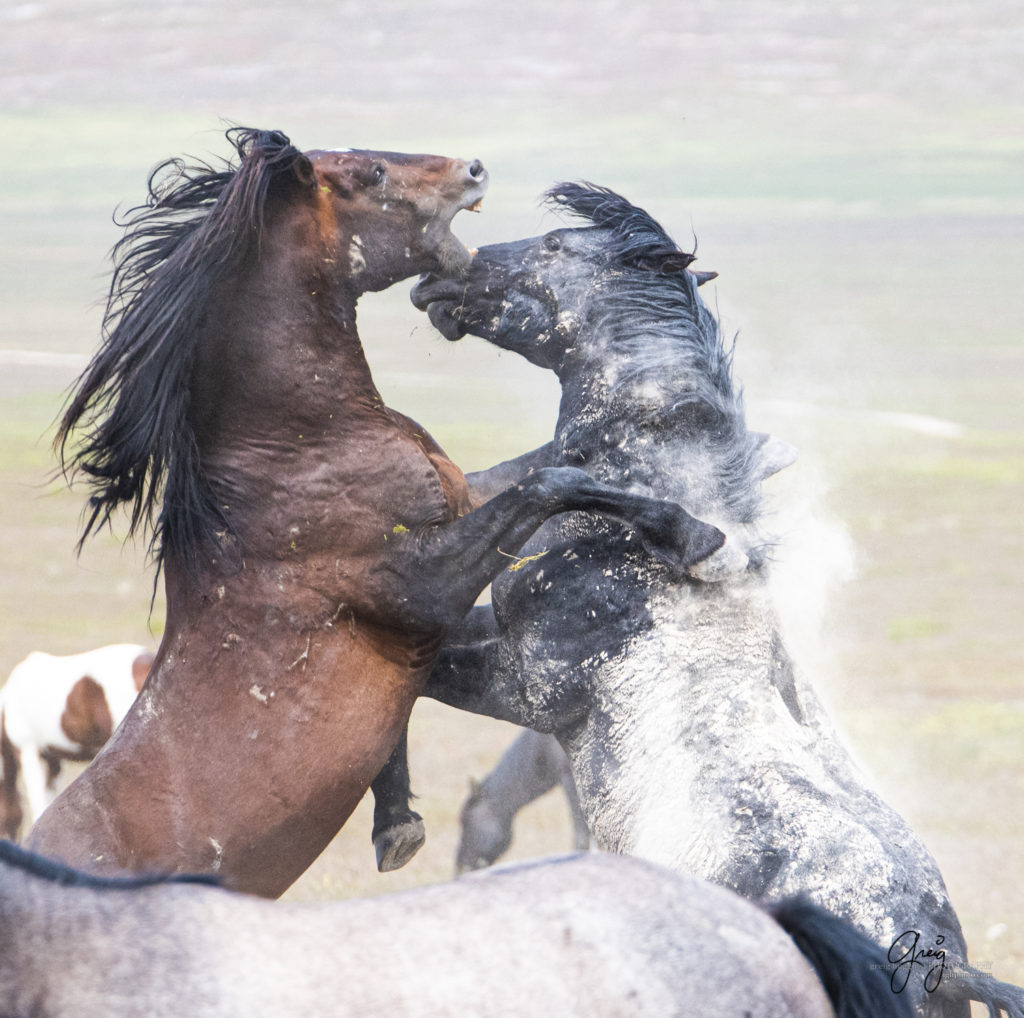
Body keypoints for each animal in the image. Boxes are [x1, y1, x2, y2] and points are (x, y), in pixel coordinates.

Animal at [25, 129, 729, 897]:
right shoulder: (418, 587)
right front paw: (695, 537)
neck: (293, 449)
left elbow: (553, 460)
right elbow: (551, 482)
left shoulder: (461, 498)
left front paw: (396, 824)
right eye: (372, 173)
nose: (472, 168)